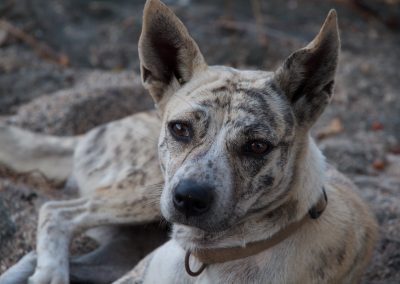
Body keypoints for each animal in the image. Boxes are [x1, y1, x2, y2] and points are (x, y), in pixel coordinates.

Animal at [0, 0, 376, 284]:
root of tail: (93, 131)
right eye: (179, 128)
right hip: (143, 192)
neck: (209, 258)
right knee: (57, 211)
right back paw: (50, 272)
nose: (189, 198)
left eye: (257, 146)